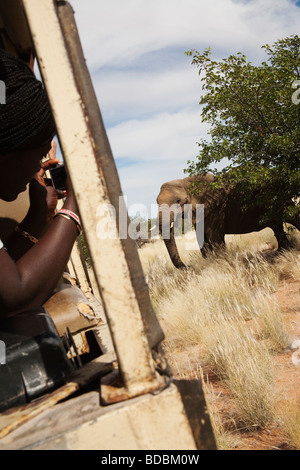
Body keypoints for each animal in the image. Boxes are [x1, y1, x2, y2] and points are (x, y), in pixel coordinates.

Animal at [156, 173, 298, 268]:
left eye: (178, 201)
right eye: (156, 202)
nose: (189, 267)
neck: (186, 182)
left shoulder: (216, 209)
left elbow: (215, 239)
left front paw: (221, 262)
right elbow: (202, 240)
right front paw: (209, 262)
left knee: (292, 217)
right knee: (277, 225)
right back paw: (283, 251)